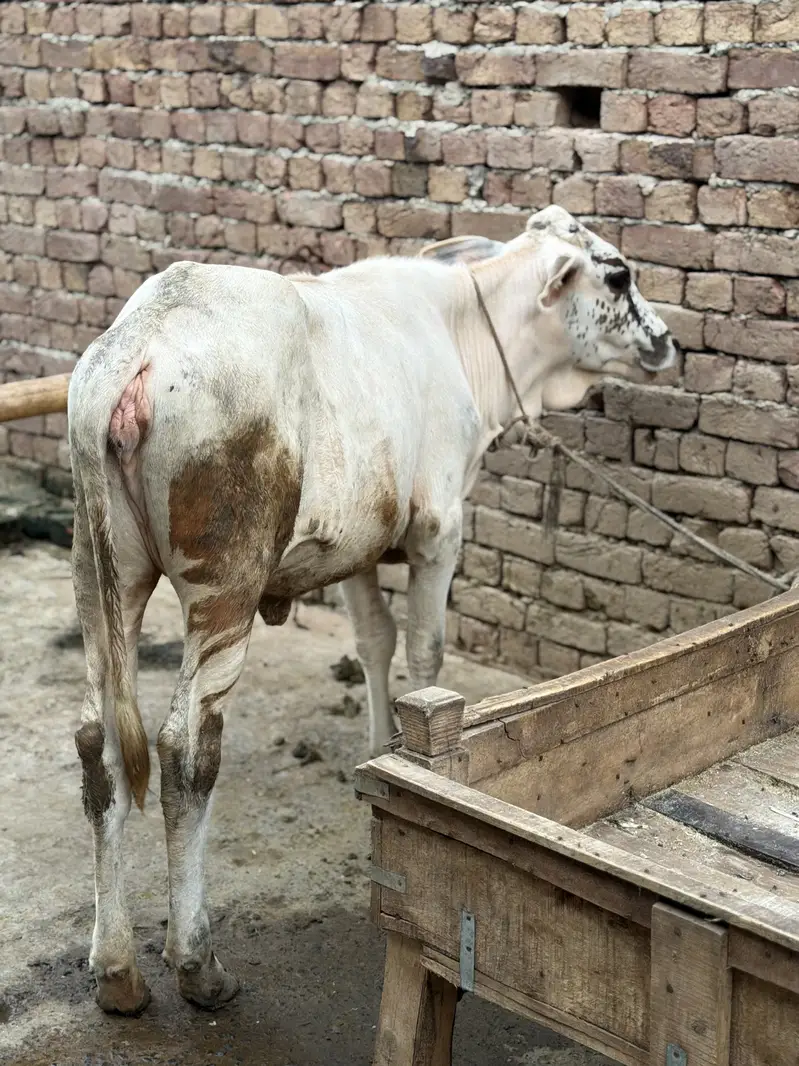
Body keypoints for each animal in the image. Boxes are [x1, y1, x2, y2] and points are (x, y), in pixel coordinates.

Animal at [67, 205, 677, 1015]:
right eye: (616, 274)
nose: (665, 341)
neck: (460, 328)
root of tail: (139, 345)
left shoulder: (351, 548)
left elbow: (374, 643)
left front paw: (379, 755)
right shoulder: (437, 531)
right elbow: (423, 652)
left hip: (104, 579)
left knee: (98, 742)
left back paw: (116, 970)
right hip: (224, 585)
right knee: (185, 752)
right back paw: (197, 963)